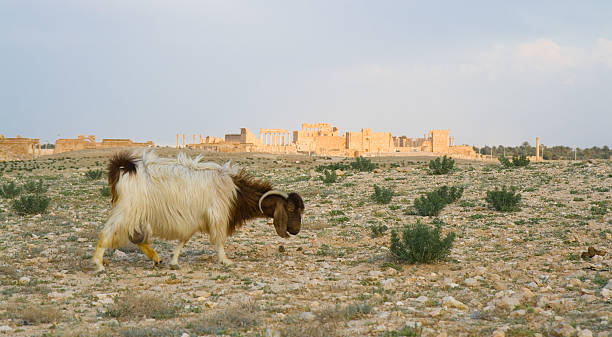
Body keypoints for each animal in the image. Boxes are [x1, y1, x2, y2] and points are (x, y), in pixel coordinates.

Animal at [92, 151, 304, 272]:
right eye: (290, 208)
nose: (296, 230)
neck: (237, 192)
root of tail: (125, 168)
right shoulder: (217, 215)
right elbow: (218, 240)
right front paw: (226, 261)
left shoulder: (195, 218)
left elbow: (184, 239)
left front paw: (174, 261)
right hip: (128, 209)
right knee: (108, 232)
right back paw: (99, 265)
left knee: (136, 236)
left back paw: (156, 259)